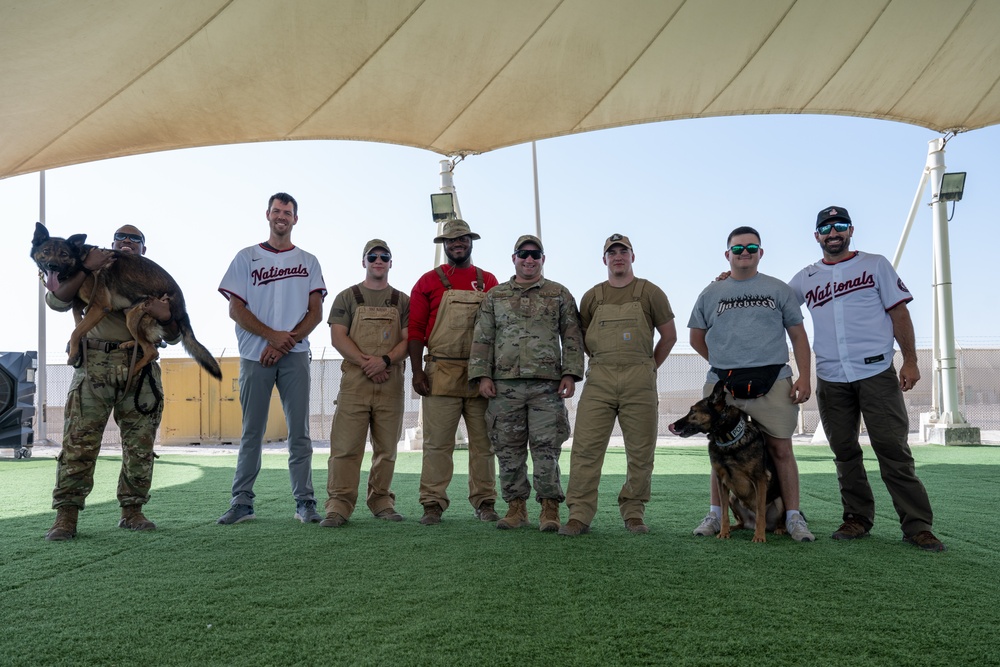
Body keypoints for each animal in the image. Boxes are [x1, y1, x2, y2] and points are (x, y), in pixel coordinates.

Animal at [31, 222, 223, 380]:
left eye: (64, 254)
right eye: (46, 252)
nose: (52, 266)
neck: (81, 262)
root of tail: (182, 307)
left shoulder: (100, 306)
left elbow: (76, 330)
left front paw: (73, 353)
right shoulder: (81, 304)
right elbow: (77, 322)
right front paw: (77, 349)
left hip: (136, 315)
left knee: (152, 351)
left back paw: (132, 370)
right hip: (130, 312)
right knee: (153, 342)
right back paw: (131, 343)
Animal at [668, 380, 784, 544]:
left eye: (692, 411)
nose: (673, 425)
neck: (728, 441)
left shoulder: (760, 480)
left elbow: (761, 512)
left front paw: (759, 536)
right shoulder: (721, 482)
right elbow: (723, 512)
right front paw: (723, 533)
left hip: (779, 501)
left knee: (774, 519)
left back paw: (779, 529)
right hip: (732, 498)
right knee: (741, 523)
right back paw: (734, 528)